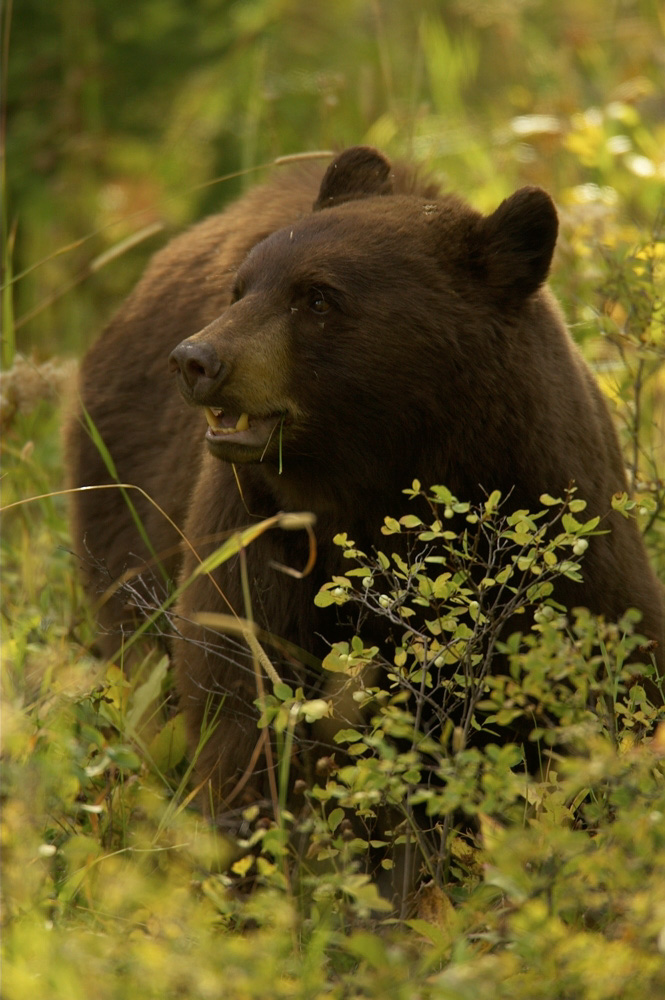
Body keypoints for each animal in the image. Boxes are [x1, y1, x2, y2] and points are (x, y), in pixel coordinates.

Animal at [67, 145, 664, 817]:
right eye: (242, 287)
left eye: (318, 298)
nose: (195, 360)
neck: (387, 472)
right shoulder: (260, 527)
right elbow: (241, 684)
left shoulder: (553, 517)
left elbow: (605, 662)